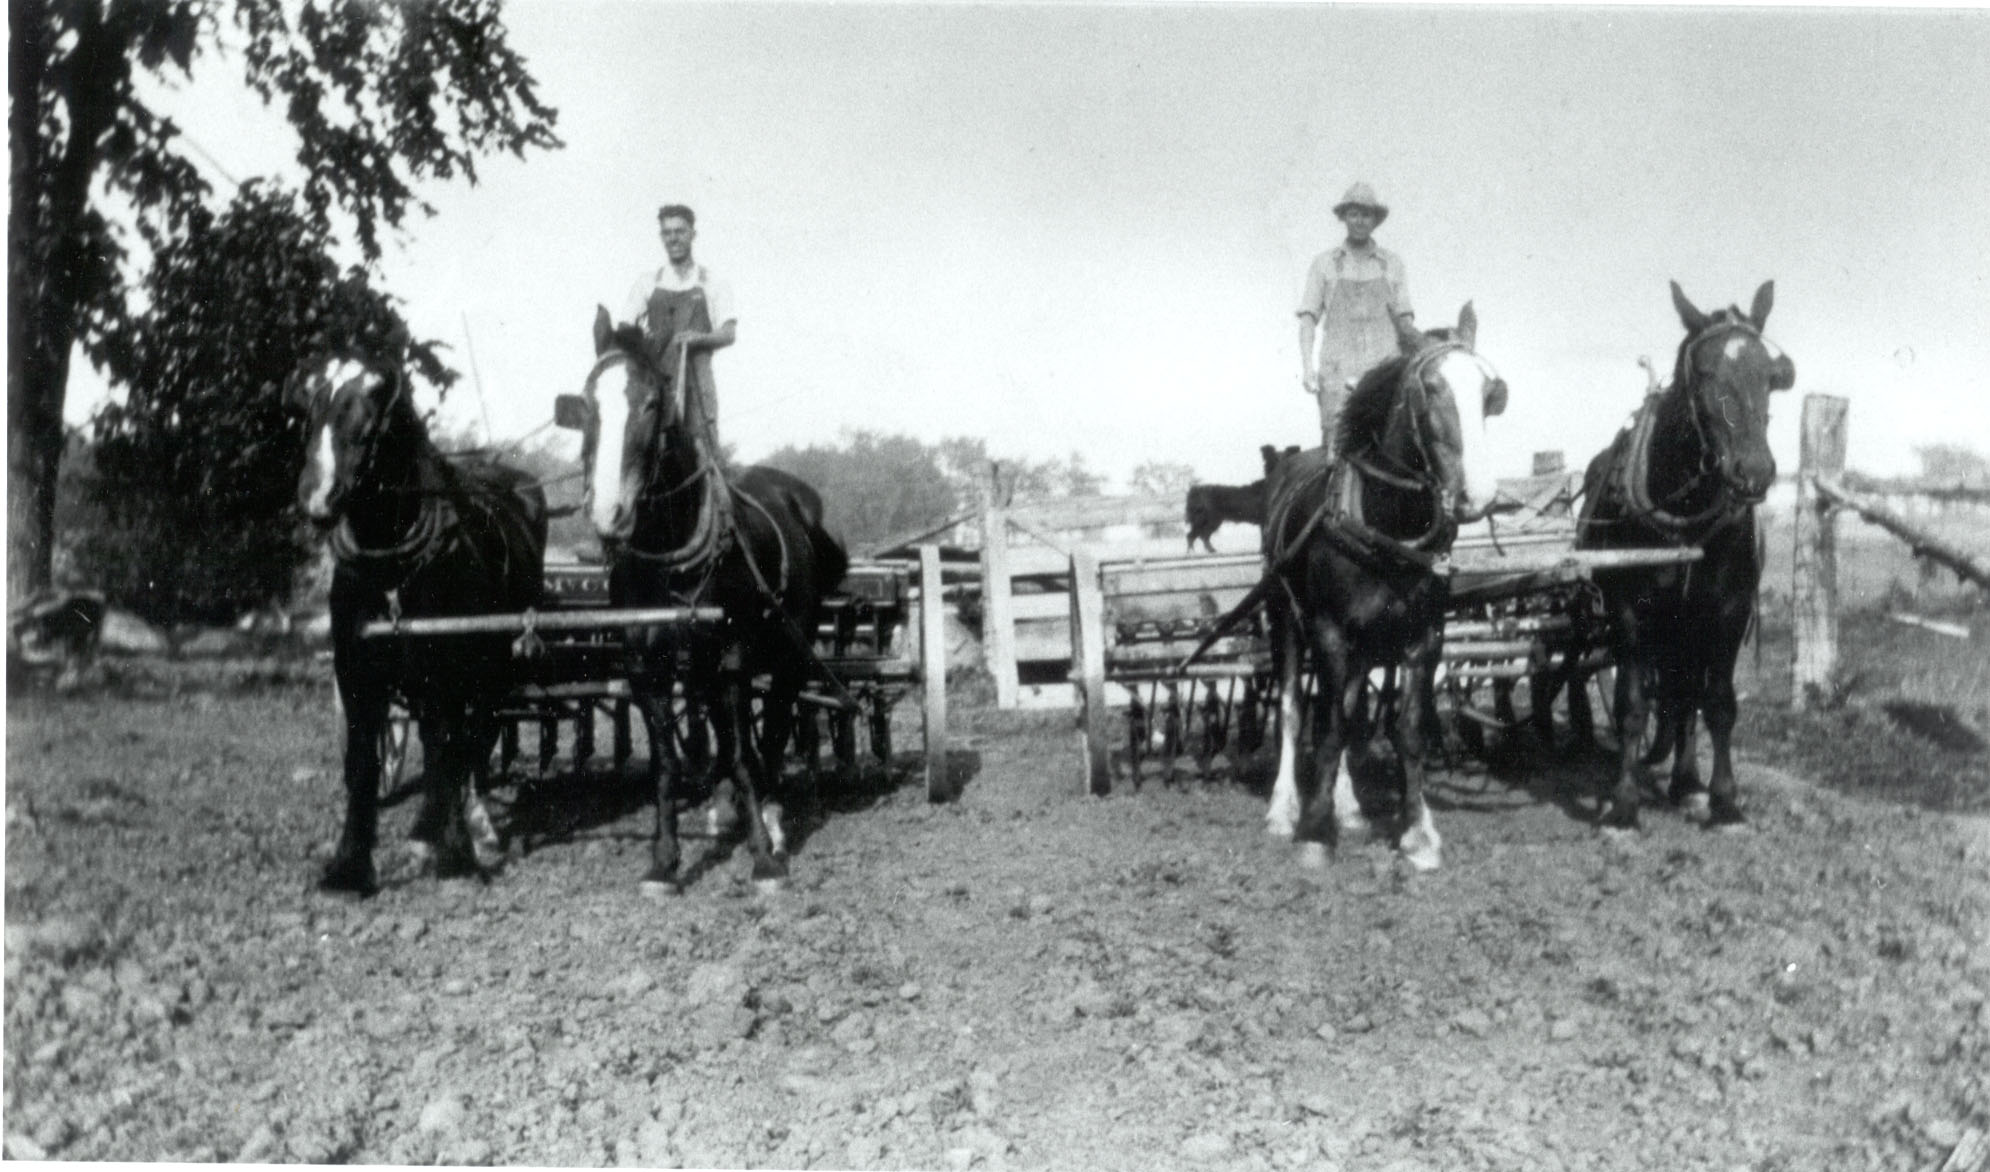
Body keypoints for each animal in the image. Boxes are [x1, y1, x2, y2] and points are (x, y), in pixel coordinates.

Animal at [290, 351, 548, 894]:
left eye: (371, 422)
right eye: (310, 413)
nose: (317, 499)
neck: (392, 569)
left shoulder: (448, 671)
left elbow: (449, 750)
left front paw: (454, 853)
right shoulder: (355, 670)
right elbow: (363, 761)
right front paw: (349, 867)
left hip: (494, 669)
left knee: (474, 739)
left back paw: (471, 827)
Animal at [567, 306, 847, 895]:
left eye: (651, 403)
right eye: (587, 403)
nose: (608, 513)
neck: (670, 552)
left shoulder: (734, 659)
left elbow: (743, 754)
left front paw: (764, 858)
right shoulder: (644, 665)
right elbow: (667, 763)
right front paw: (664, 861)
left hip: (788, 652)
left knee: (773, 729)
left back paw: (771, 816)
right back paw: (723, 809)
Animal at [1259, 304, 1509, 871]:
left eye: (1490, 393)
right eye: (1430, 389)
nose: (1478, 496)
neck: (1385, 524)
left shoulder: (1423, 638)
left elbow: (1406, 730)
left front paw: (1417, 833)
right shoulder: (1330, 632)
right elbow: (1328, 726)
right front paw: (1313, 831)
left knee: (1349, 706)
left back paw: (1348, 808)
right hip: (1285, 619)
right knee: (1293, 708)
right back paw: (1283, 811)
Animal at [1575, 281, 1793, 829]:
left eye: (1771, 375)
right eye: (1705, 374)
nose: (1753, 471)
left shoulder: (1726, 613)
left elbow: (1716, 702)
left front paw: (1723, 800)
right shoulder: (1629, 614)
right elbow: (1633, 703)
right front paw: (1623, 803)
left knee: (1684, 694)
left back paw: (1686, 780)